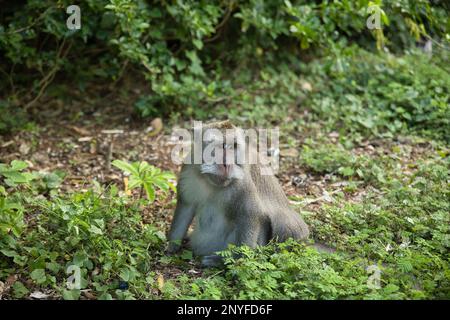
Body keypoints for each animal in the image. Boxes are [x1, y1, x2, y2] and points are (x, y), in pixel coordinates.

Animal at [166, 121, 310, 266]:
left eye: (234, 146)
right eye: (217, 146)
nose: (226, 164)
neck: (211, 182)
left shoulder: (242, 183)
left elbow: (251, 214)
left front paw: (237, 261)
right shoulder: (188, 170)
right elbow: (186, 206)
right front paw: (172, 246)